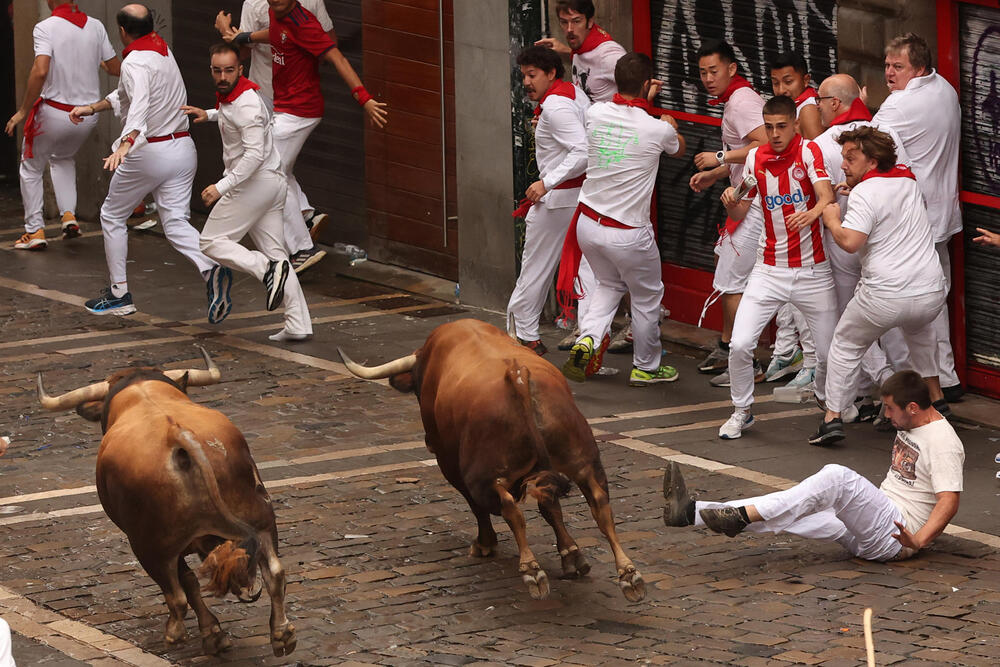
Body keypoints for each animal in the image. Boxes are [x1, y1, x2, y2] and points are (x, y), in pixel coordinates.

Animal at [39, 350, 296, 656]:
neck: (142, 393)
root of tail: (177, 434)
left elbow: (187, 583)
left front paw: (212, 633)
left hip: (149, 545)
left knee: (177, 594)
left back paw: (175, 633)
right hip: (261, 519)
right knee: (275, 572)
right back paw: (282, 634)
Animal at [340, 318, 644, 600]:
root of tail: (517, 374)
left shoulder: (449, 463)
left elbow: (478, 507)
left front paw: (485, 543)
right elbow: (551, 508)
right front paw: (571, 555)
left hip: (481, 473)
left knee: (508, 508)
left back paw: (532, 571)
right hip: (583, 459)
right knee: (599, 504)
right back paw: (628, 574)